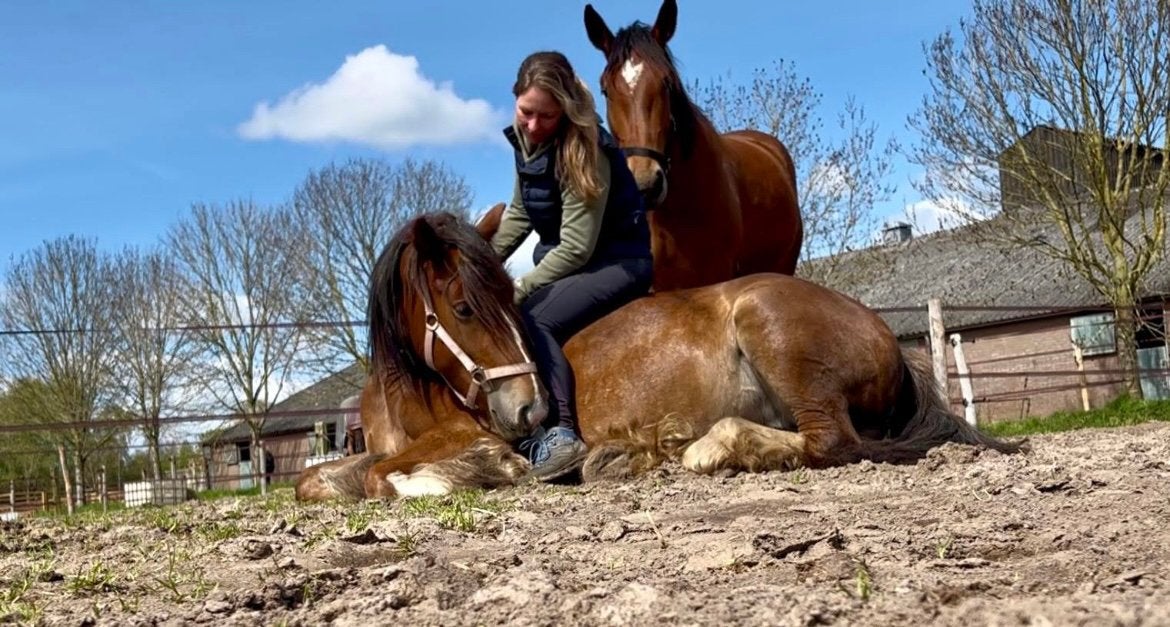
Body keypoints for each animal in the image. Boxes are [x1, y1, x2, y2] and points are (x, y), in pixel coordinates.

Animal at [295, 212, 1018, 502]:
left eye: (506, 298)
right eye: (465, 309)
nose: (528, 411)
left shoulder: (463, 432)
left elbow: (380, 477)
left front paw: (473, 473)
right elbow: (316, 480)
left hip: (771, 328)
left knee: (828, 441)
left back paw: (706, 449)